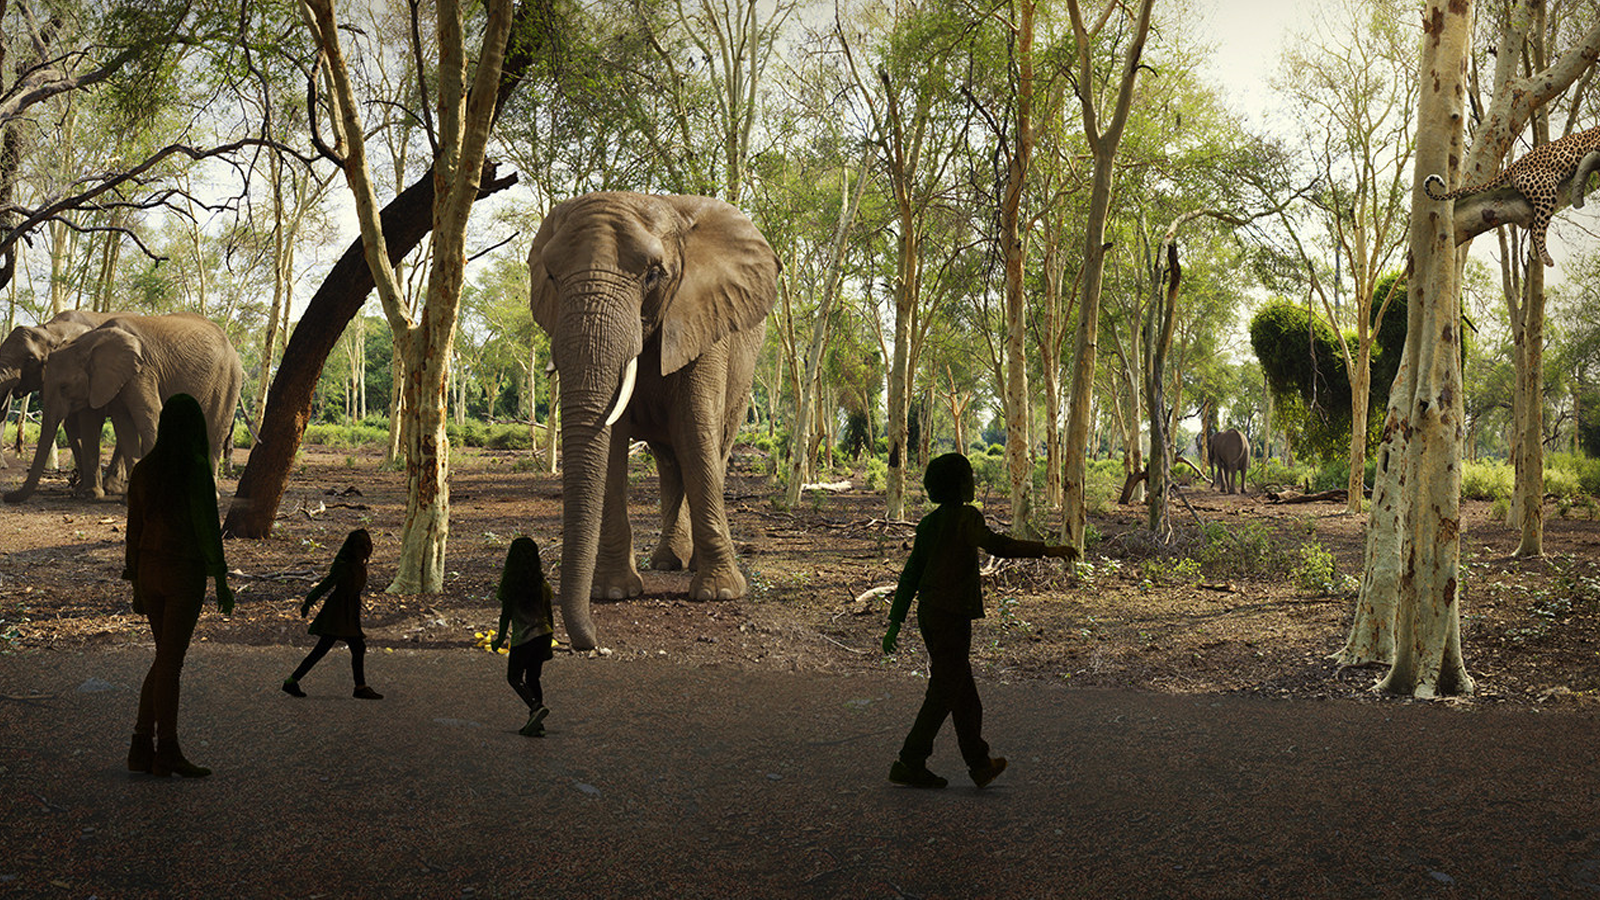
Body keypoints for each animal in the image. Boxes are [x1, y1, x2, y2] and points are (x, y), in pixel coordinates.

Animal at [531, 192, 780, 646]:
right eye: (553, 276)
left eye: (652, 275)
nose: (589, 641)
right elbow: (612, 443)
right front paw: (612, 592)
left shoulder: (704, 321)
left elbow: (696, 432)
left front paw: (719, 594)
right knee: (669, 462)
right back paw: (666, 562)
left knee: (709, 450)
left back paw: (690, 564)